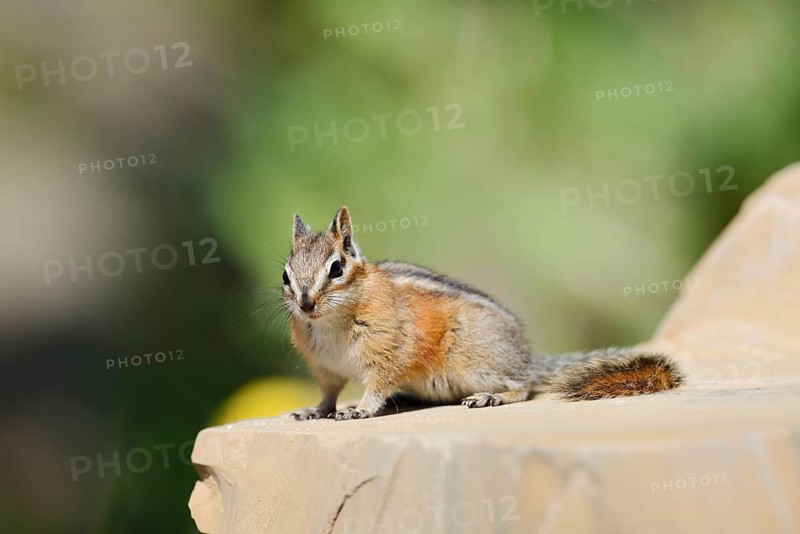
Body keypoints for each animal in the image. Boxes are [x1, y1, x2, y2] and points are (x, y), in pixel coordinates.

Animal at [282, 206, 682, 421]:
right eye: (286, 275)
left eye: (336, 268)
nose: (306, 304)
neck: (330, 322)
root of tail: (527, 359)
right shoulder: (326, 367)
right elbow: (329, 393)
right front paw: (314, 410)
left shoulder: (388, 351)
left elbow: (378, 384)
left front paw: (361, 409)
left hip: (473, 362)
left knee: (522, 387)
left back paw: (493, 397)